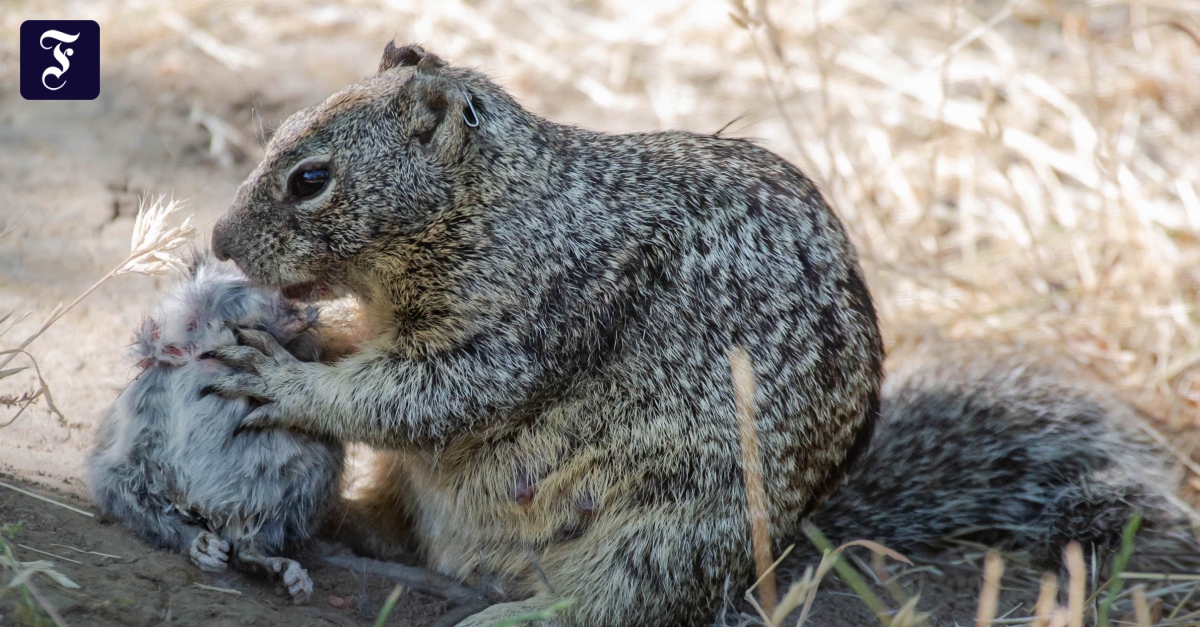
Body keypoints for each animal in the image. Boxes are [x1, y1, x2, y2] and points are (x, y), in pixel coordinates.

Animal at [87, 252, 343, 600]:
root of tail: (215, 510)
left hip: (305, 482)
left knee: (249, 546)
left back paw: (287, 575)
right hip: (124, 470)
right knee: (156, 511)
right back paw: (206, 547)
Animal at [204, 42, 1190, 619]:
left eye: (310, 179)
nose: (216, 241)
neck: (502, 205)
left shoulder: (527, 319)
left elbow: (423, 396)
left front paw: (287, 379)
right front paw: (312, 335)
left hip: (668, 529)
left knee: (613, 605)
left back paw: (513, 611)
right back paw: (343, 529)